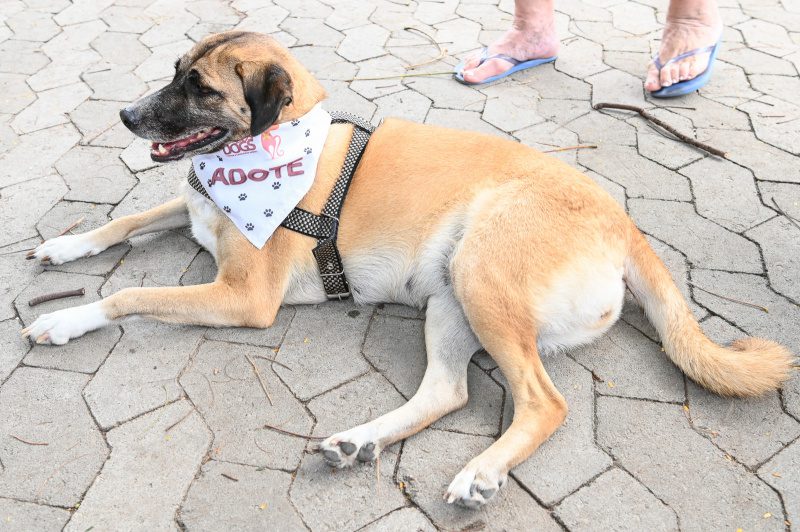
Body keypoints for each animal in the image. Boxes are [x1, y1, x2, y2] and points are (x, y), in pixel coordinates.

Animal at [23, 30, 792, 508]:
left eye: (201, 86)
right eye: (173, 70)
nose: (126, 115)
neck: (260, 155)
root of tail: (621, 220)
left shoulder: (244, 296)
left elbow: (130, 293)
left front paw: (66, 317)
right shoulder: (192, 208)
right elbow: (123, 223)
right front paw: (65, 248)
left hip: (482, 277)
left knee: (543, 402)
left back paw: (480, 473)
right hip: (451, 300)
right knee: (447, 393)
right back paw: (359, 441)